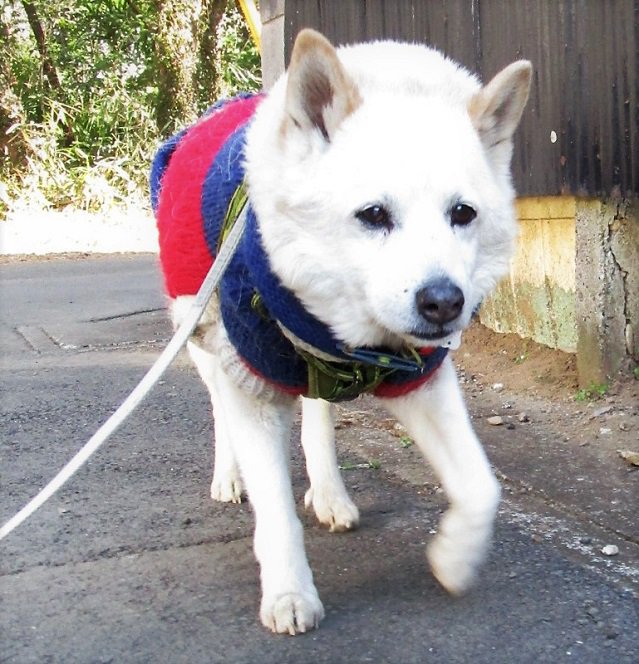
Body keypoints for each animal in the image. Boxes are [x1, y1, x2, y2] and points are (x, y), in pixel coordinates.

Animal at [150, 28, 528, 636]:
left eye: (463, 213)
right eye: (374, 214)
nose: (445, 303)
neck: (354, 341)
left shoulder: (421, 381)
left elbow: (480, 486)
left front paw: (454, 557)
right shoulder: (251, 383)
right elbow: (275, 513)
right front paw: (288, 593)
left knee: (318, 417)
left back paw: (330, 493)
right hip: (202, 336)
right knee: (220, 412)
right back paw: (229, 476)